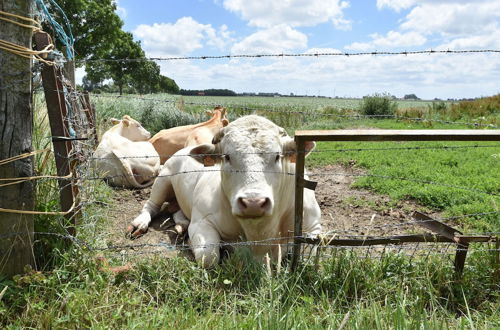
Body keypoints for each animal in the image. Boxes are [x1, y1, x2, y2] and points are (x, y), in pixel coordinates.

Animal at [128, 114, 320, 266]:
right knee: (151, 205)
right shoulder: (201, 221)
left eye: (278, 156)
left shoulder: (313, 227)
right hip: (163, 180)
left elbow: (307, 257)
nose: (253, 203)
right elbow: (208, 256)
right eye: (227, 157)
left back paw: (181, 224)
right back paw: (140, 223)